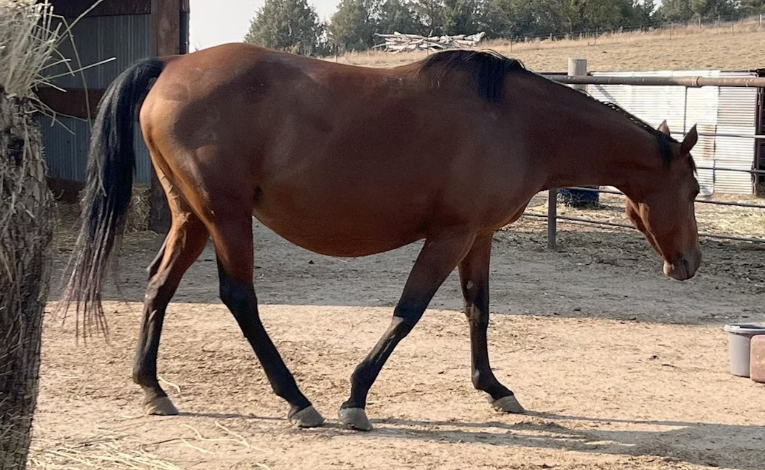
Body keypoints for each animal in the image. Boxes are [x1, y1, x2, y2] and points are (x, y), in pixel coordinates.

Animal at [59, 44, 700, 430]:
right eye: (694, 190)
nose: (691, 263)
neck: (517, 123)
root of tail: (169, 64)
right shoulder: (450, 236)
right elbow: (408, 311)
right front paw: (355, 397)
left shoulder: (478, 237)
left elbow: (478, 310)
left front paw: (494, 388)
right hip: (226, 216)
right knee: (238, 297)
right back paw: (297, 400)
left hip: (192, 217)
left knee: (159, 286)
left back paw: (152, 388)